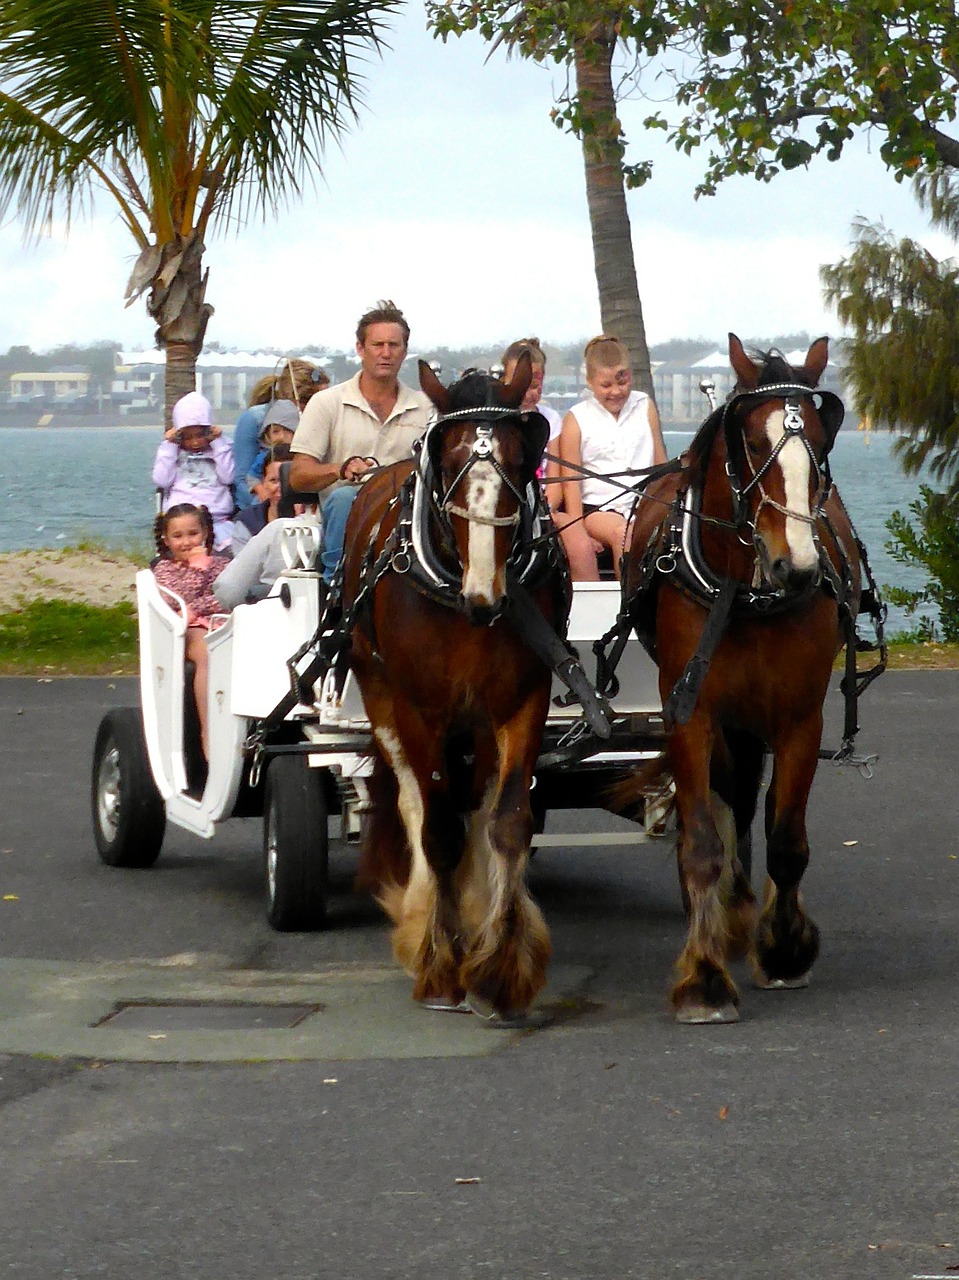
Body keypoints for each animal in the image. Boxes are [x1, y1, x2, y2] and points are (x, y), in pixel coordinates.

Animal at [340, 355, 565, 1024]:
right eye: (447, 463)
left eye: (522, 458)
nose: (486, 594)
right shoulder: (420, 711)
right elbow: (437, 829)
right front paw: (440, 964)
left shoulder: (523, 700)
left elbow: (509, 821)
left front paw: (502, 967)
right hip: (379, 694)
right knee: (417, 804)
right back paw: (425, 922)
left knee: (479, 808)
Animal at [624, 335, 865, 1024]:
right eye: (753, 444)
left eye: (821, 439)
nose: (798, 568)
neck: (747, 592)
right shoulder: (691, 712)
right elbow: (703, 841)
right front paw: (704, 976)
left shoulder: (799, 718)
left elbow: (787, 840)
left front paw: (784, 948)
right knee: (726, 798)